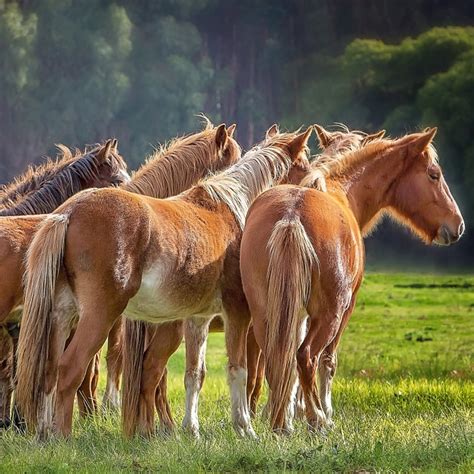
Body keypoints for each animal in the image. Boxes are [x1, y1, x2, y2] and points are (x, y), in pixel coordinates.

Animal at [14, 124, 312, 438]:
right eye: (304, 165)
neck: (235, 207)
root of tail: (70, 212)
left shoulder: (197, 318)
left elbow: (195, 373)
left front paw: (192, 429)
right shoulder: (237, 313)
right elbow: (238, 370)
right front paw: (244, 428)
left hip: (62, 315)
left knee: (49, 371)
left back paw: (45, 434)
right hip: (99, 316)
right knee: (71, 369)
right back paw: (64, 436)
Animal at [241, 129, 462, 434]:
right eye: (433, 174)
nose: (457, 224)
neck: (342, 190)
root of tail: (291, 216)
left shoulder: (295, 312)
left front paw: (288, 411)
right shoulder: (346, 308)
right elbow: (328, 361)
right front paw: (321, 411)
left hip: (266, 313)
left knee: (277, 357)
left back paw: (280, 423)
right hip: (329, 314)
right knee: (307, 356)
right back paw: (317, 419)